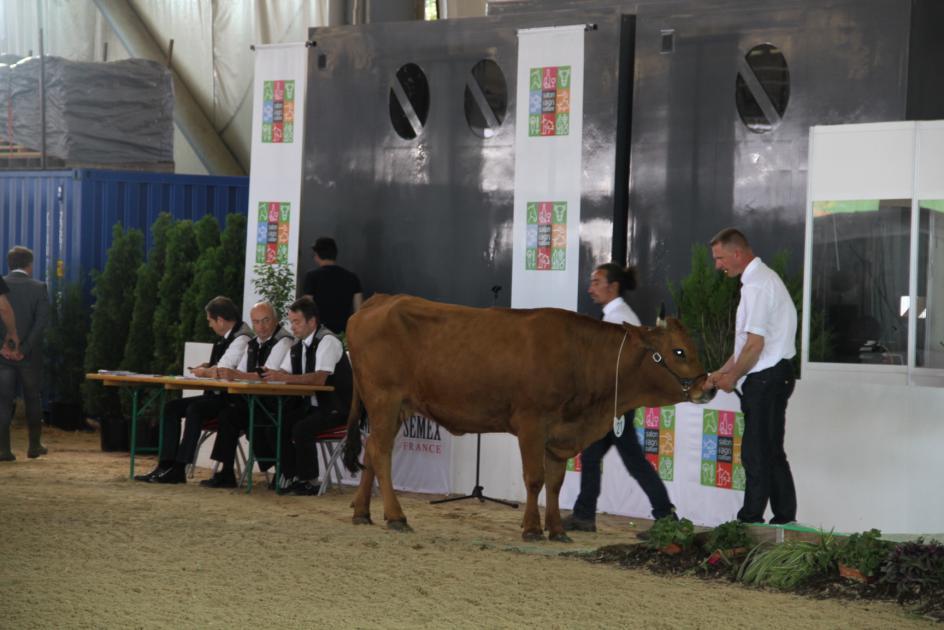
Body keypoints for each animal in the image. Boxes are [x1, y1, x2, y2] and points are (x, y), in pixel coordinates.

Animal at [342, 296, 716, 544]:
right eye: (679, 351)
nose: (708, 387)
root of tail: (380, 300)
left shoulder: (559, 435)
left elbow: (556, 483)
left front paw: (558, 529)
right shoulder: (532, 424)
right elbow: (534, 479)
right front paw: (533, 528)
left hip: (398, 407)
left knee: (373, 449)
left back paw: (363, 512)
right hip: (385, 399)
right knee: (381, 453)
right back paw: (395, 516)